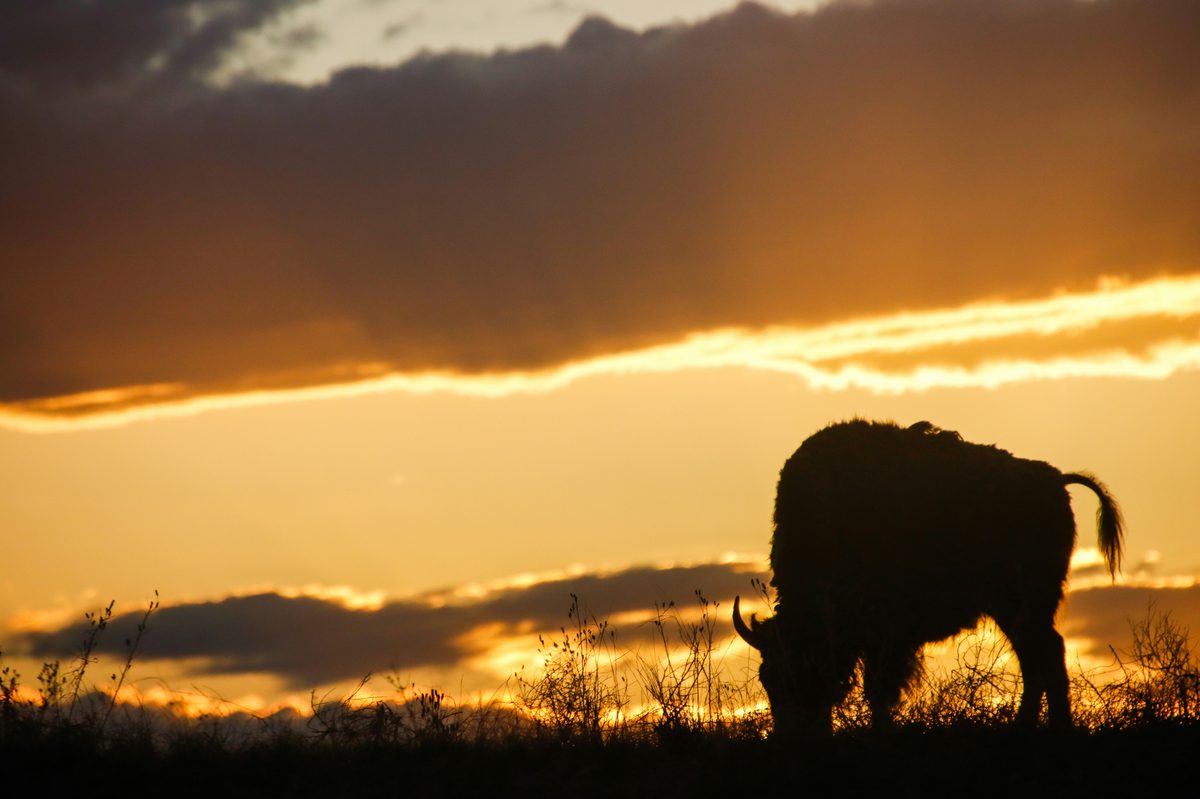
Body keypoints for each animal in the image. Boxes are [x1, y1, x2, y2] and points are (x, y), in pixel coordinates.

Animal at [733, 419, 1123, 734]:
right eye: (767, 679)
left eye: (804, 673)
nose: (793, 735)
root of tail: (1057, 480)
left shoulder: (887, 636)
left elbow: (878, 689)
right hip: (1013, 609)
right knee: (1036, 658)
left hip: (1024, 603)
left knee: (1046, 655)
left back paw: (1051, 726)